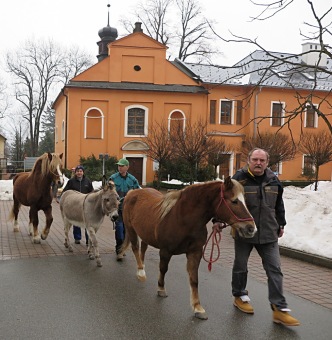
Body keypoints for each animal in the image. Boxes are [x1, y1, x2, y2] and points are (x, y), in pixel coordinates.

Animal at [119, 177, 256, 320]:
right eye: (234, 201)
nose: (251, 228)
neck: (184, 219)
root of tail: (132, 192)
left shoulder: (195, 252)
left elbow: (194, 279)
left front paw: (198, 307)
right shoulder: (165, 251)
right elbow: (163, 269)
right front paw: (161, 289)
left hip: (145, 233)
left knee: (143, 249)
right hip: (131, 229)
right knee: (135, 248)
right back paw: (141, 272)